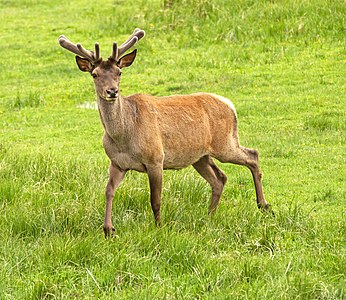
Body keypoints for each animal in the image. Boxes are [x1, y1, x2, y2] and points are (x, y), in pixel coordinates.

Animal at [58, 28, 272, 239]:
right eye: (94, 74)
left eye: (119, 72)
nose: (112, 91)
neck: (123, 137)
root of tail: (230, 105)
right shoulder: (117, 163)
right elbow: (108, 191)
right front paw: (108, 229)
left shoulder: (155, 158)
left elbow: (155, 199)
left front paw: (159, 227)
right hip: (200, 156)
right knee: (220, 178)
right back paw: (209, 216)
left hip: (225, 142)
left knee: (252, 155)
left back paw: (263, 205)